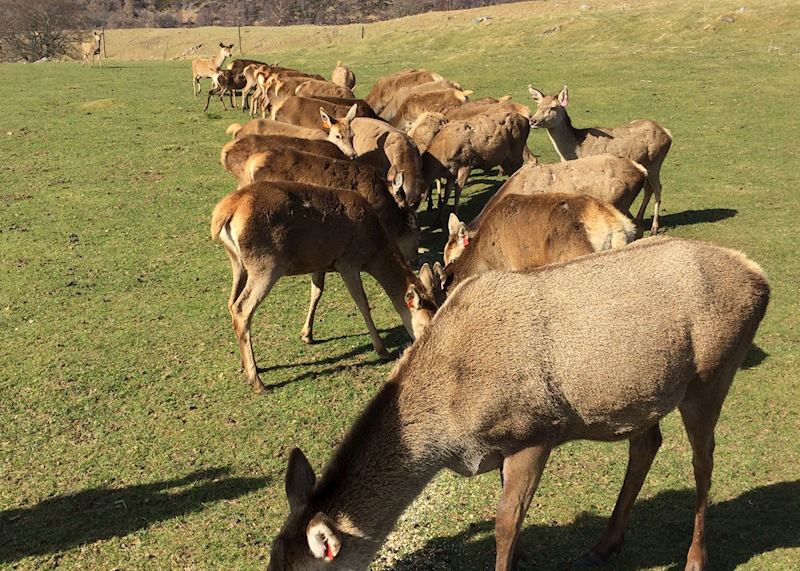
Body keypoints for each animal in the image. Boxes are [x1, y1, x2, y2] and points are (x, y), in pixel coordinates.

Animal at [211, 181, 435, 392]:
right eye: (424, 326)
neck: (375, 250)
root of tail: (225, 212)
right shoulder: (348, 261)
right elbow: (362, 303)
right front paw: (382, 350)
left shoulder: (320, 263)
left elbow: (316, 292)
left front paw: (307, 335)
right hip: (266, 264)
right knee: (242, 308)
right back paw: (257, 381)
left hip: (238, 263)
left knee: (231, 303)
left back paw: (245, 365)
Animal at [267, 235, 770, 571]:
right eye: (272, 561)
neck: (449, 432)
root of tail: (760, 277)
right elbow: (513, 516)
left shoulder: (534, 431)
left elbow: (504, 522)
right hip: (643, 392)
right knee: (647, 443)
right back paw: (605, 544)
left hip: (712, 375)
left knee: (704, 460)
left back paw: (695, 557)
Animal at [528, 85, 672, 234]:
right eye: (538, 105)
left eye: (553, 107)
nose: (532, 120)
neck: (575, 151)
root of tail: (667, 133)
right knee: (648, 189)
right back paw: (640, 218)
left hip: (655, 163)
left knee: (658, 188)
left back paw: (654, 227)